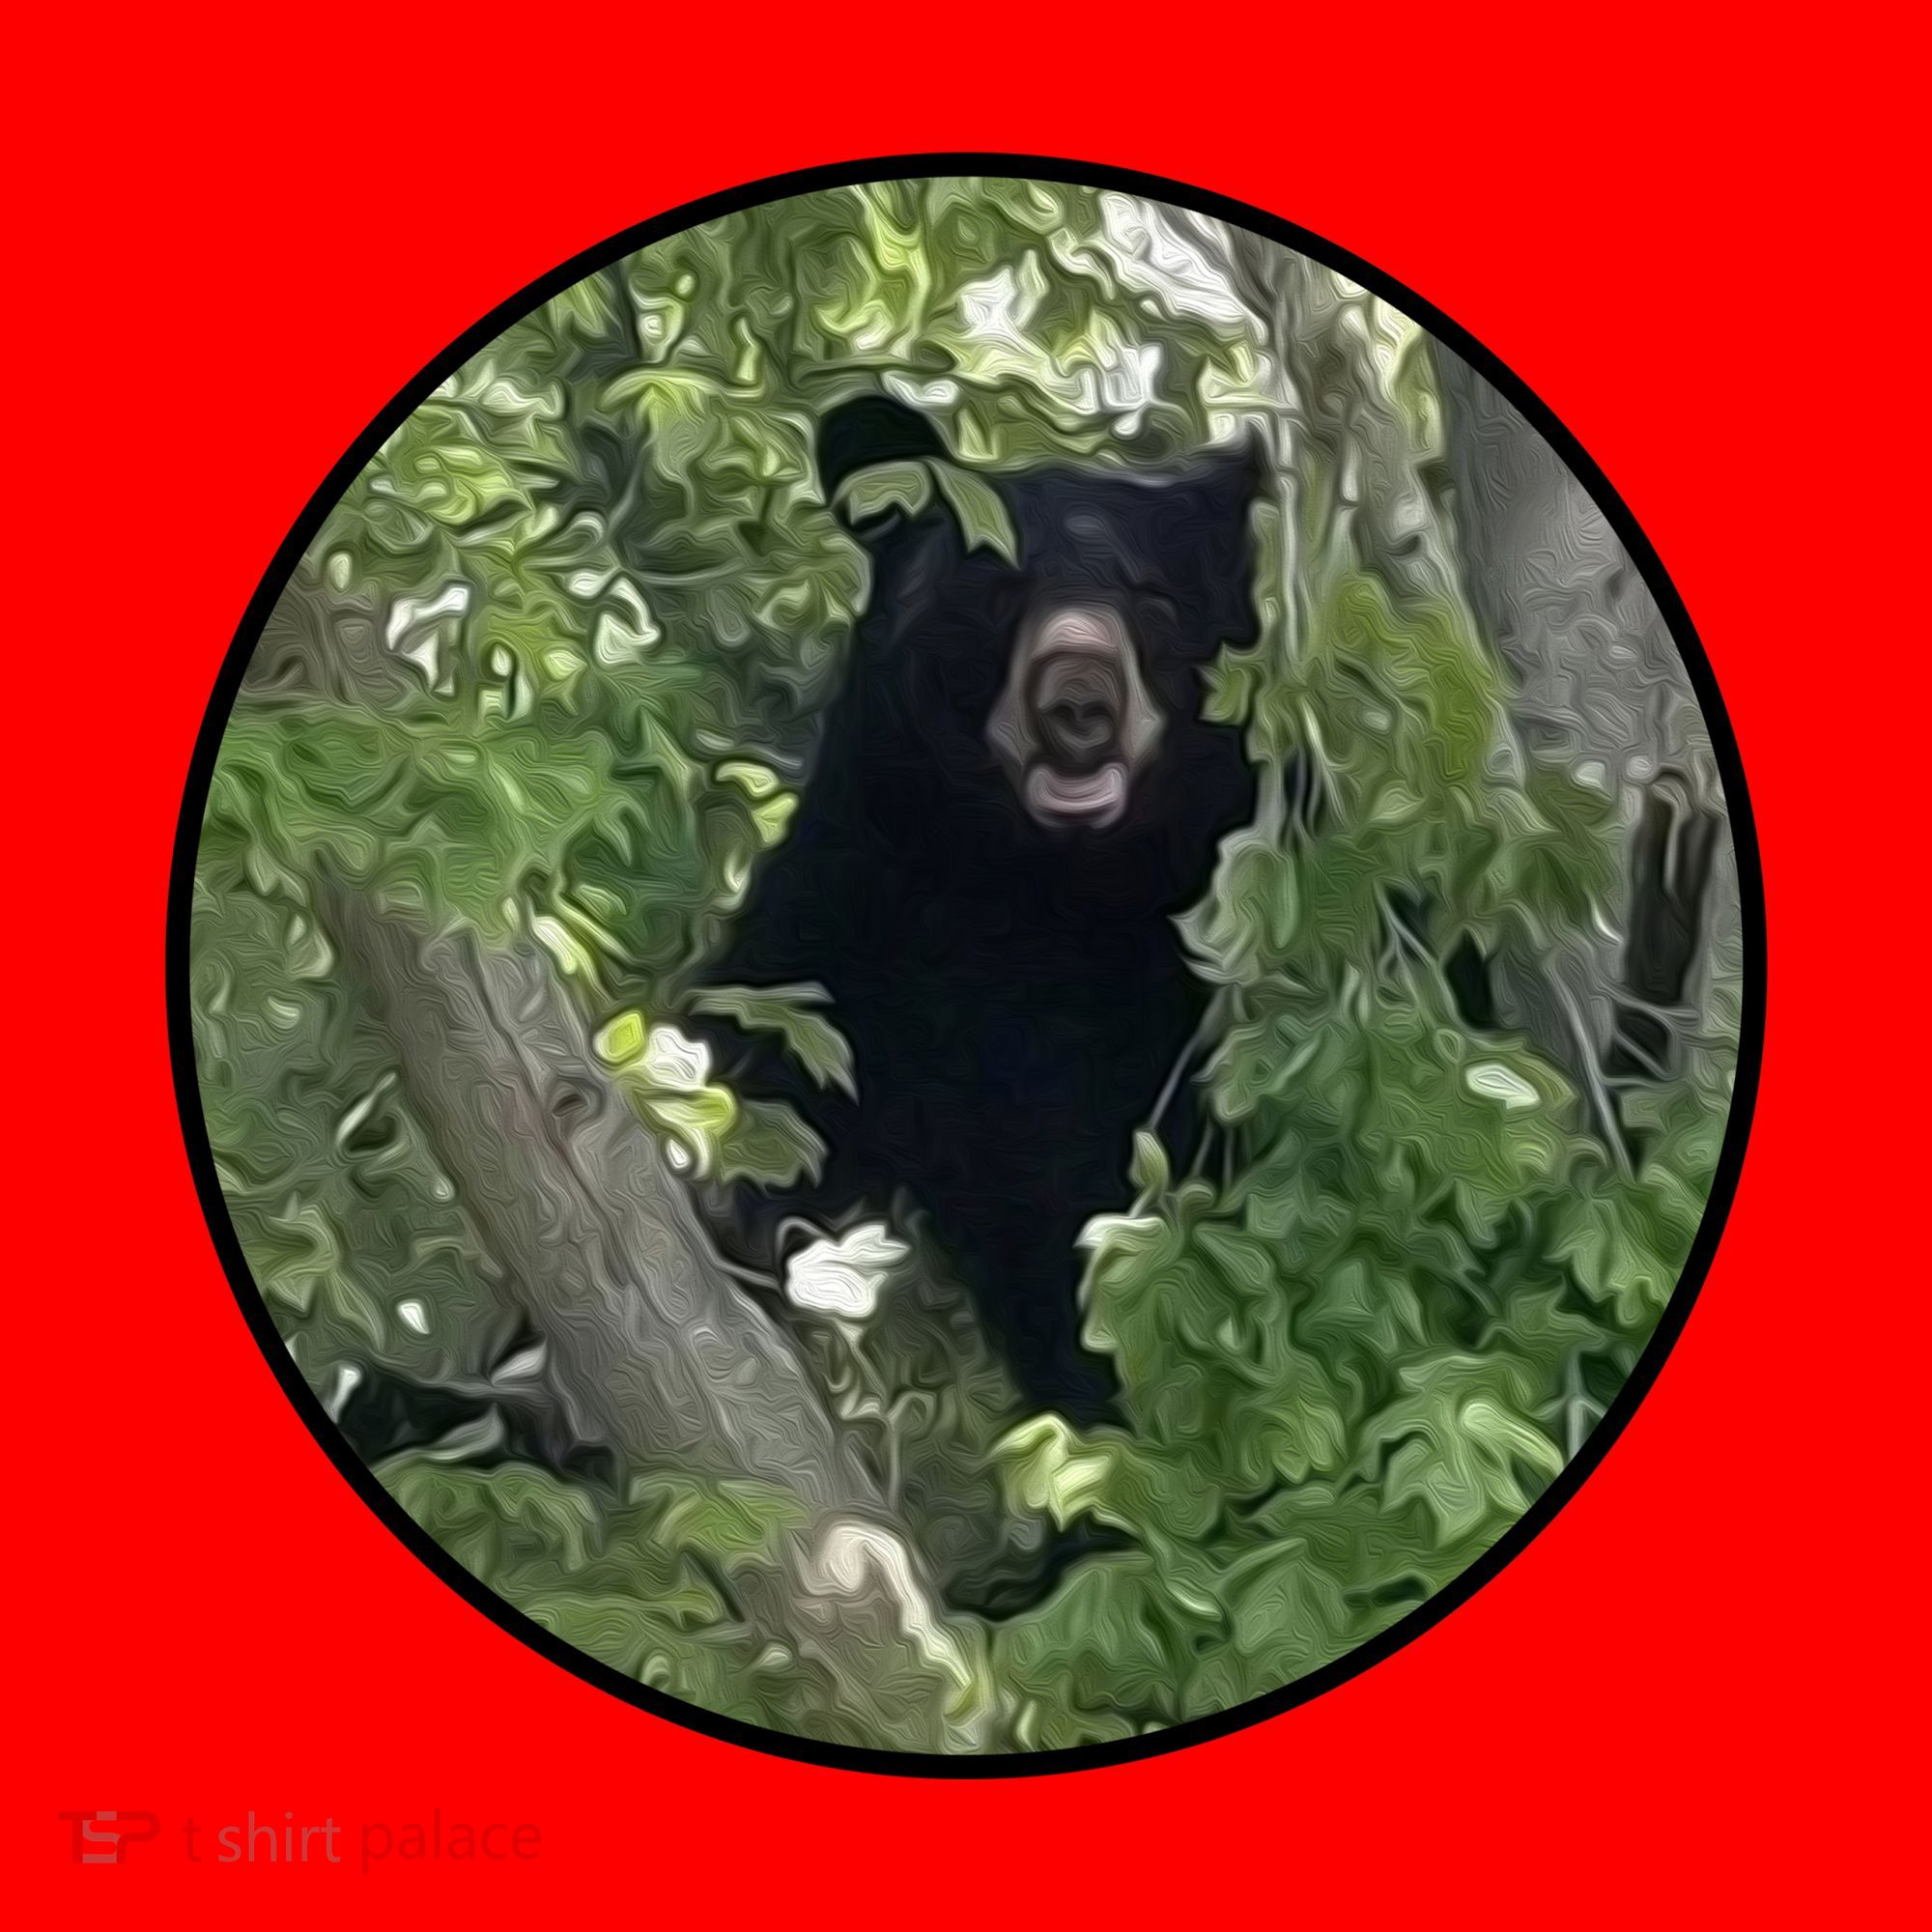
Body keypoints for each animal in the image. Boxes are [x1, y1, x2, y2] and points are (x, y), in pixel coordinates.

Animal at [691, 395, 1262, 1421]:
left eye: (1153, 599)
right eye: (1000, 591)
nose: (1080, 698)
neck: (1043, 887)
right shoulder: (865, 917)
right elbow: (770, 1055)